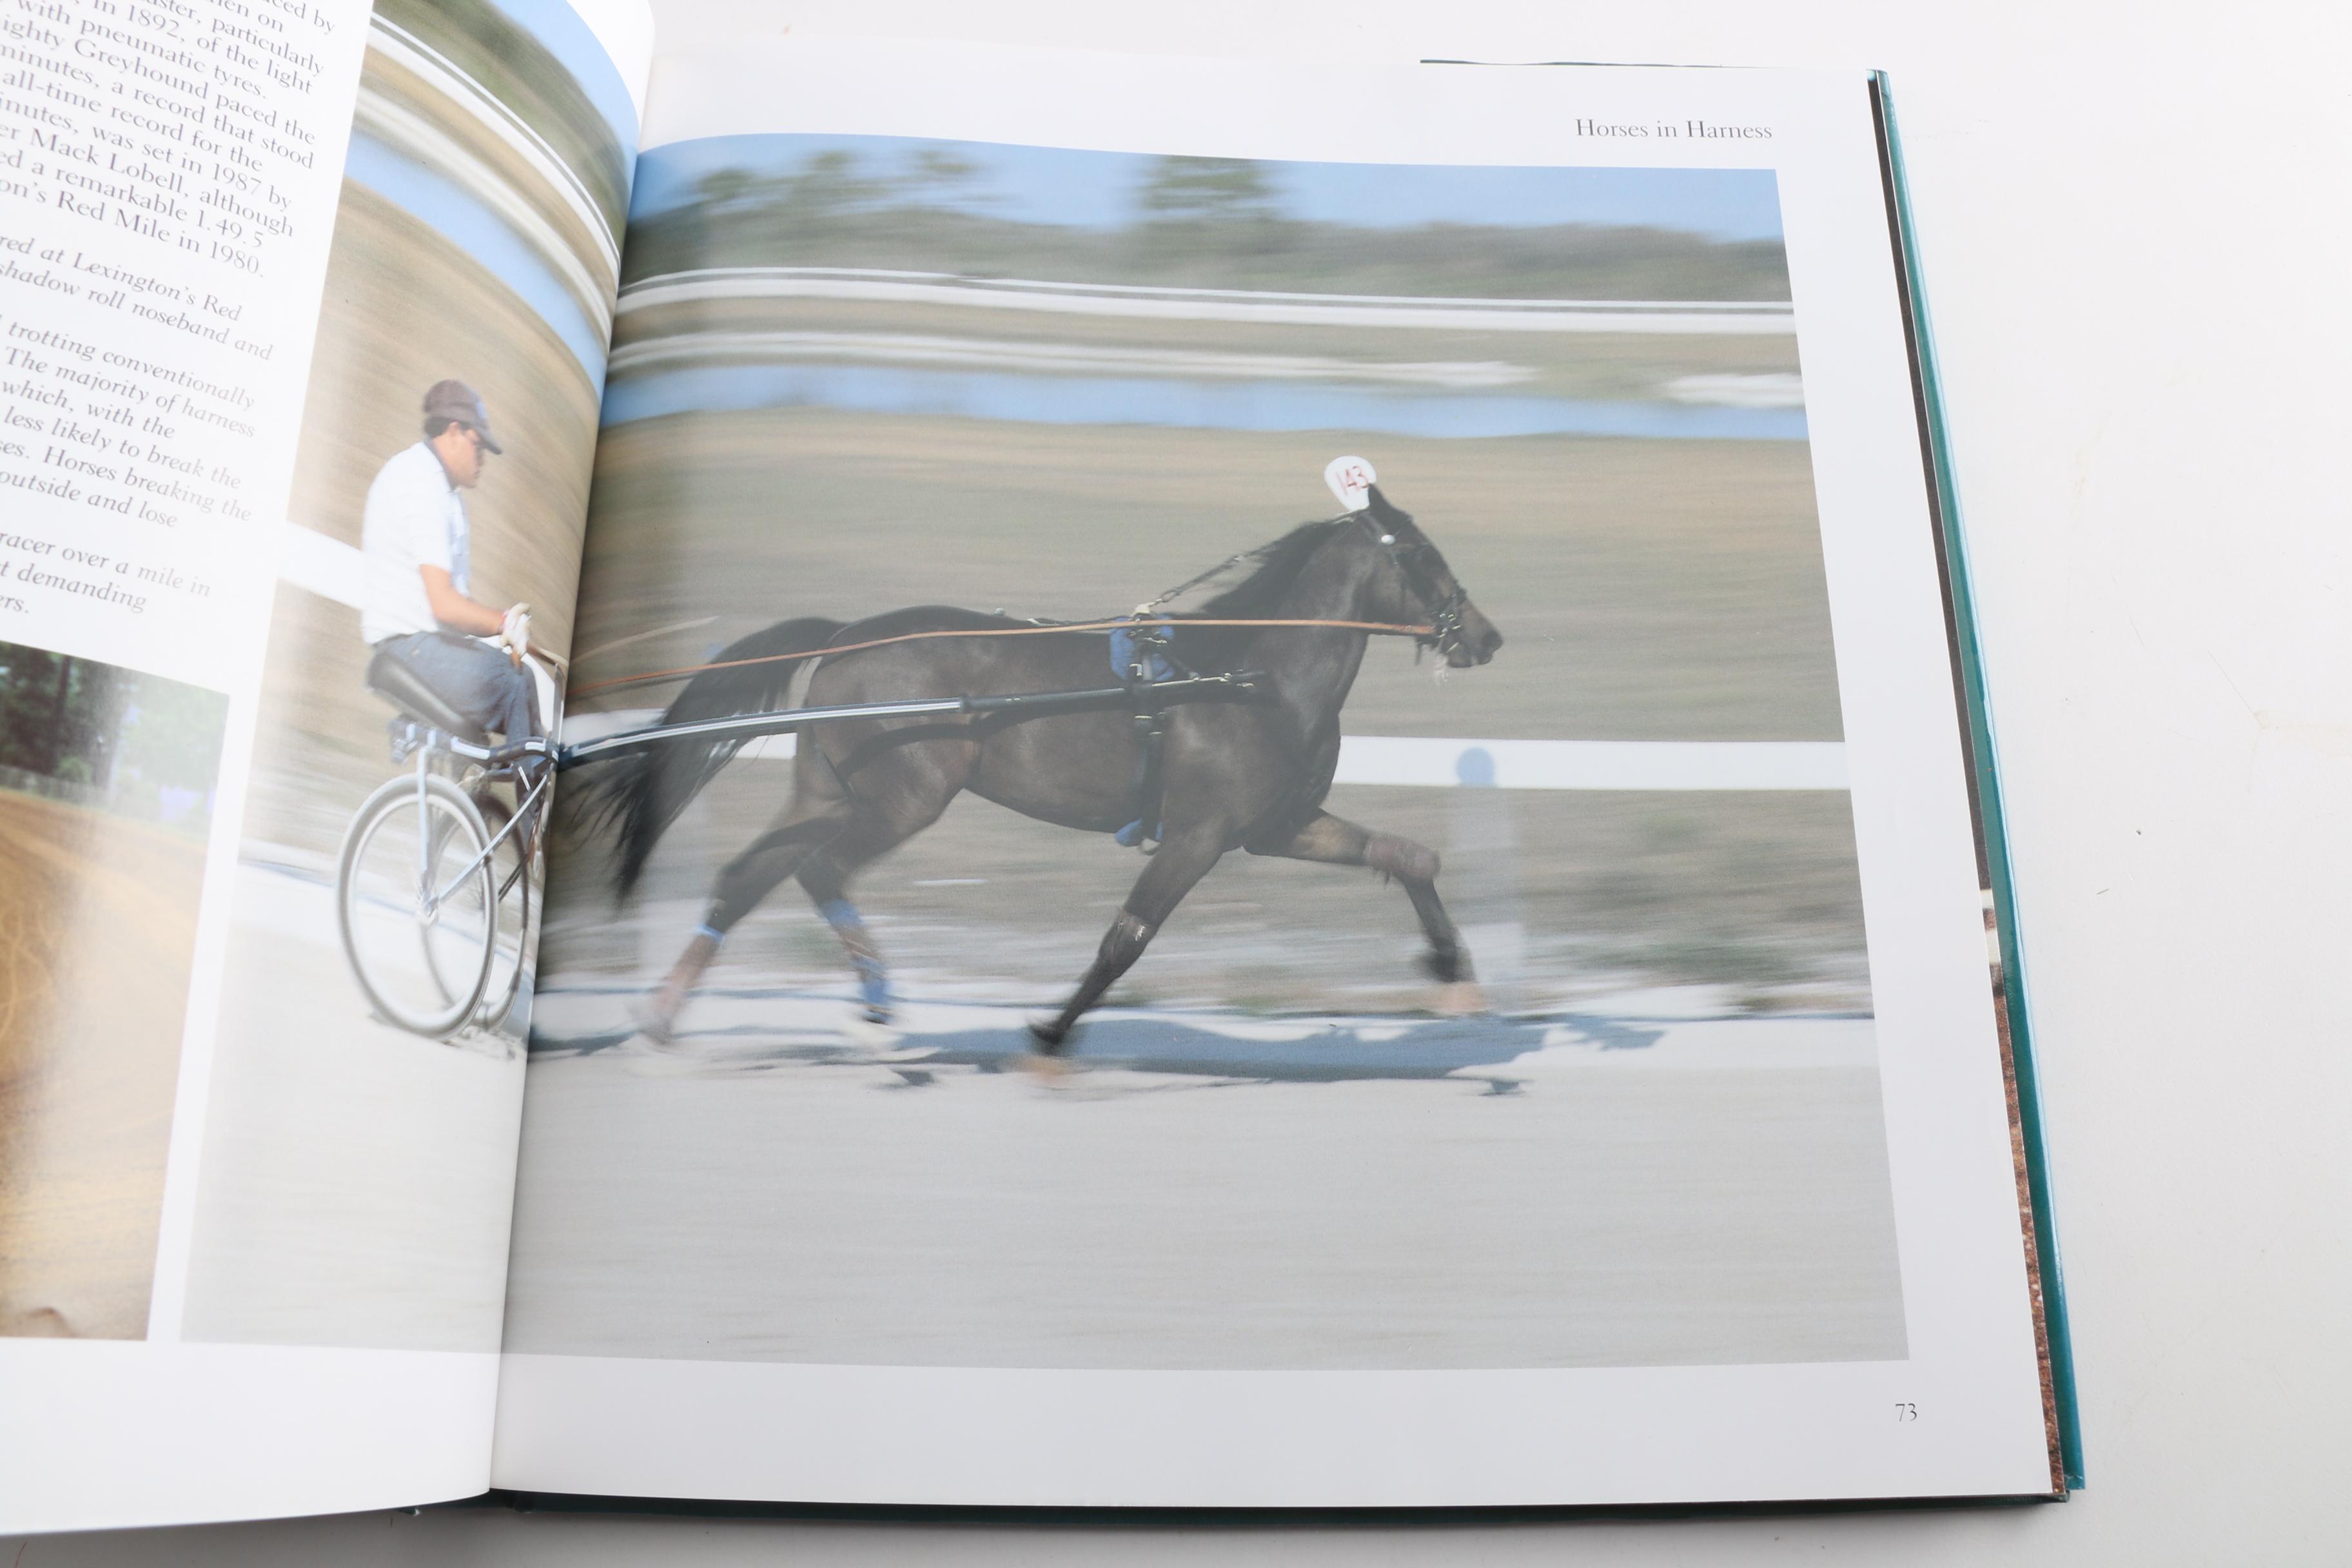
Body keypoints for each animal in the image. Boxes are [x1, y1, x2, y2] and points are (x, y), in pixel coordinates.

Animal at [595, 483, 1504, 1056]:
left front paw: (1454, 973)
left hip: (831, 786)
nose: (1487, 635)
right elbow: (1126, 939)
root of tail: (846, 634)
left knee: (750, 875)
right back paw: (873, 1007)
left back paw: (667, 1013)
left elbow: (1409, 856)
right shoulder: (1199, 833)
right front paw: (1050, 1031)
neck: (1250, 676)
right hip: (905, 796)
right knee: (820, 868)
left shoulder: (1276, 824)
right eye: (1422, 554)